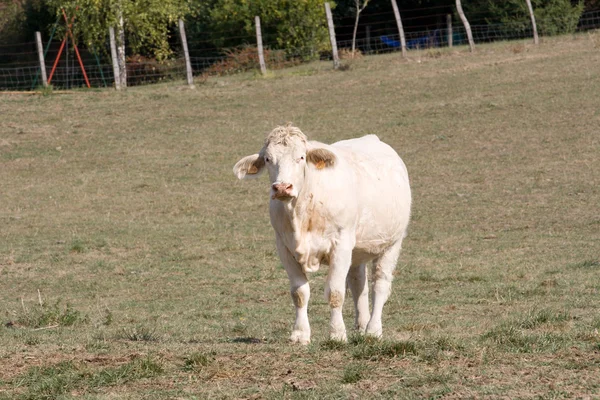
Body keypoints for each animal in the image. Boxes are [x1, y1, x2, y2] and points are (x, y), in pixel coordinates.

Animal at [232, 125, 410, 344]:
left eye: (301, 157)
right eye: (267, 159)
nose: (282, 187)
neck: (301, 212)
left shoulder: (341, 245)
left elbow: (335, 292)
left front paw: (337, 333)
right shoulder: (284, 247)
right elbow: (299, 292)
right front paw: (300, 334)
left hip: (392, 243)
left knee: (380, 285)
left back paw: (373, 330)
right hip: (357, 251)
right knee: (359, 284)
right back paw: (361, 326)